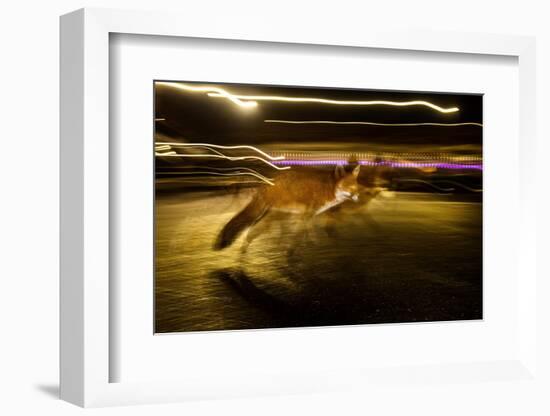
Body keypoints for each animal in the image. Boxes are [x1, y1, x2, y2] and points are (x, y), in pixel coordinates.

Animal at [216, 165, 370, 250]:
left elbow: (301, 233)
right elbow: (306, 234)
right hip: (267, 214)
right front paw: (311, 245)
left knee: (251, 229)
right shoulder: (307, 215)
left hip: (269, 215)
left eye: (355, 186)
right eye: (347, 187)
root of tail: (266, 182)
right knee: (251, 228)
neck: (328, 188)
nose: (357, 196)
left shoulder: (304, 216)